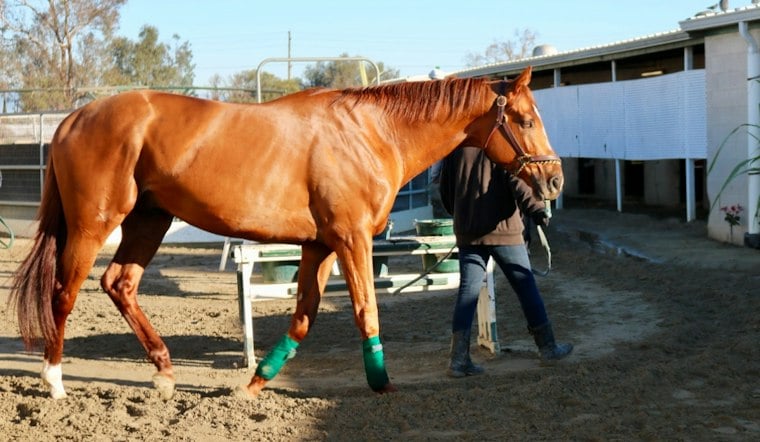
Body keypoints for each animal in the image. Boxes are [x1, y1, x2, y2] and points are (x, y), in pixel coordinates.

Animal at [9, 66, 563, 399]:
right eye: (525, 119)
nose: (554, 180)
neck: (371, 132)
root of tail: (74, 118)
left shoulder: (319, 244)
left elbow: (303, 317)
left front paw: (255, 382)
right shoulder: (352, 239)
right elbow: (365, 309)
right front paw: (381, 382)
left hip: (149, 220)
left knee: (119, 283)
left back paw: (164, 372)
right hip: (94, 223)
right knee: (64, 292)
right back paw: (54, 381)